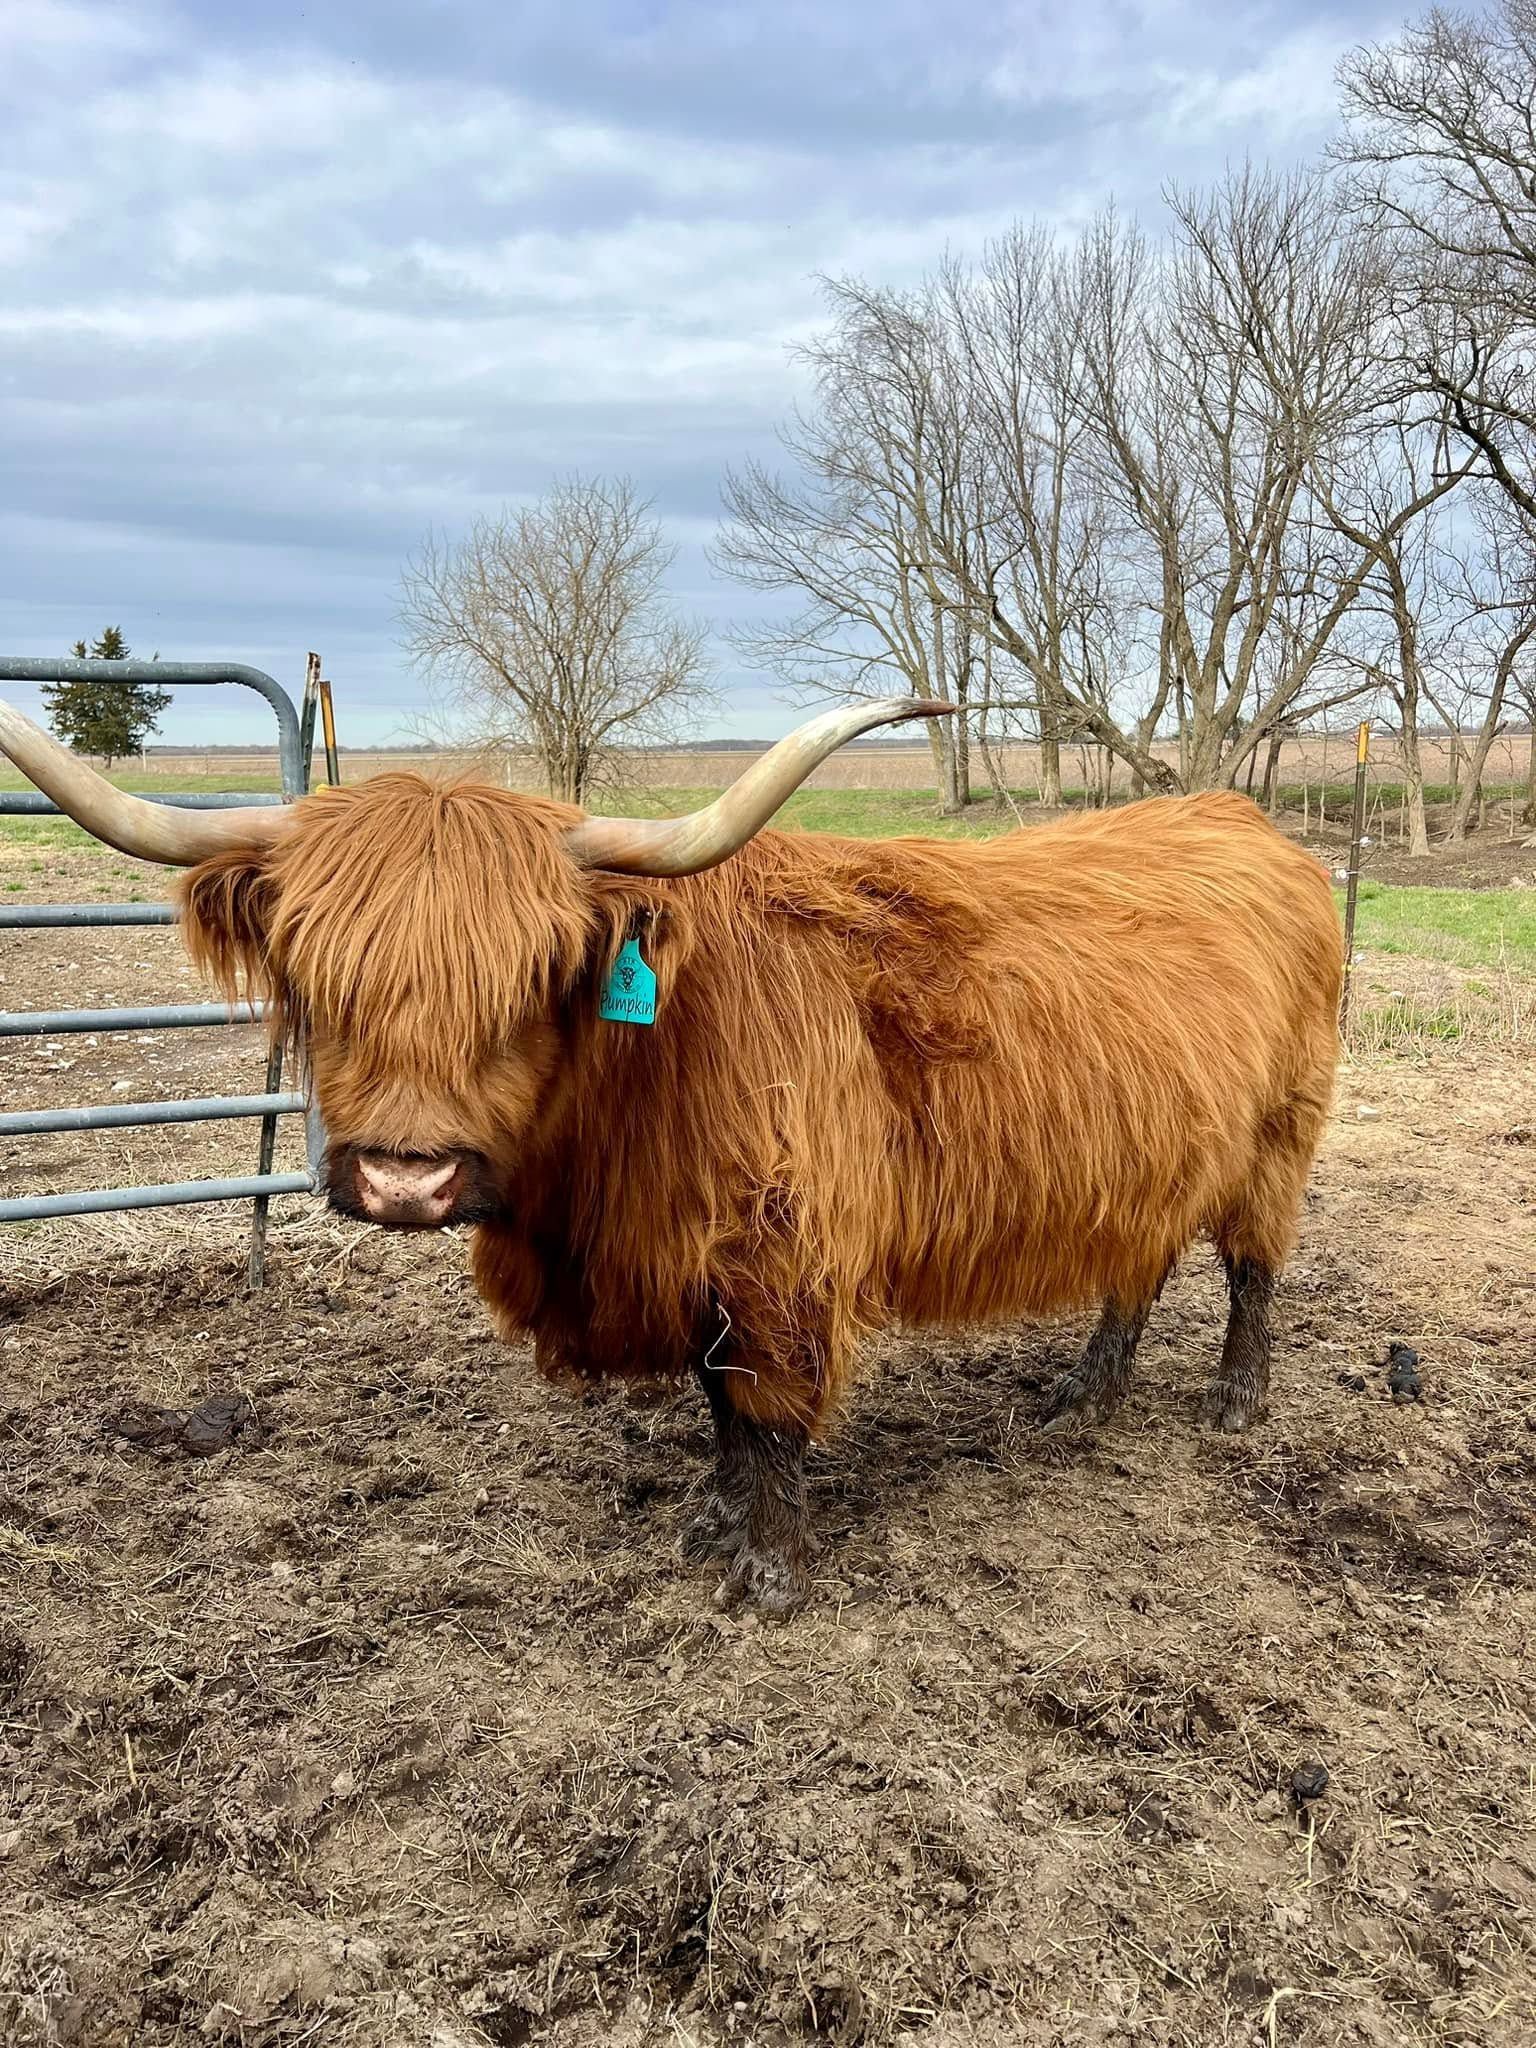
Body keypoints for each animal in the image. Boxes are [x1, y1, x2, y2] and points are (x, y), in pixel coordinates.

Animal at [0, 694, 1342, 1614]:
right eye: (321, 976)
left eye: (535, 978)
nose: (405, 1177)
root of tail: (1246, 821)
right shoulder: (695, 1264)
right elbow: (719, 1401)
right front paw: (709, 1515)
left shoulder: (781, 1250)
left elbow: (771, 1407)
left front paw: (768, 1568)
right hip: (1157, 1151)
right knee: (1138, 1264)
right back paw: (1083, 1394)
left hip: (1279, 1131)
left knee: (1250, 1267)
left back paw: (1236, 1400)